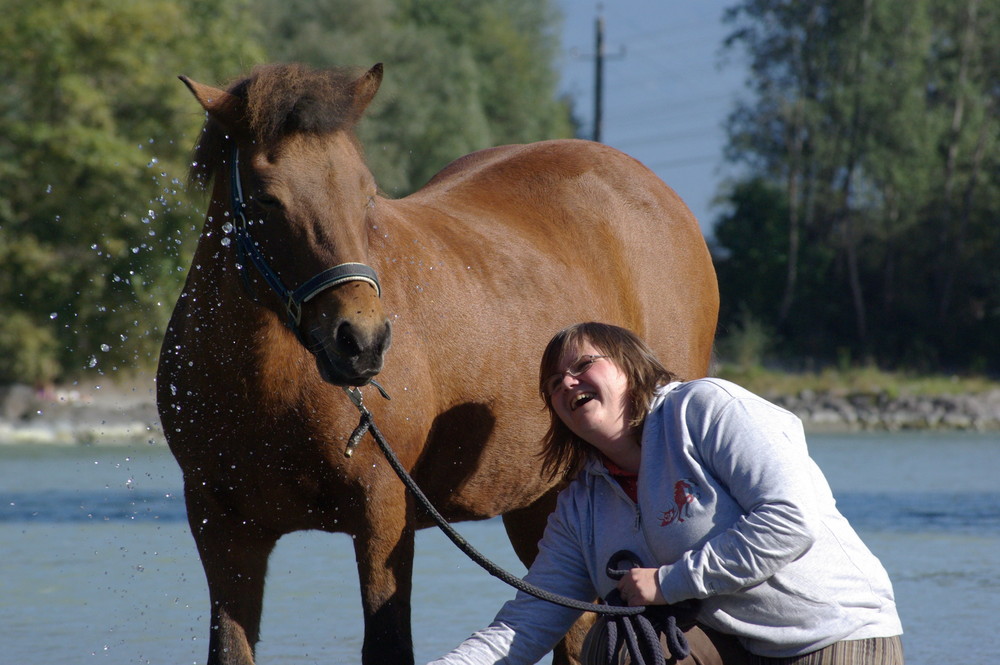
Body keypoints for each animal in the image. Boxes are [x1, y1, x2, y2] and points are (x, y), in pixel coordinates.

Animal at [158, 63, 720, 664]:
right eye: (266, 198)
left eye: (366, 194)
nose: (361, 340)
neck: (264, 394)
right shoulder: (222, 530)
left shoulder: (383, 519)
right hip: (543, 506)